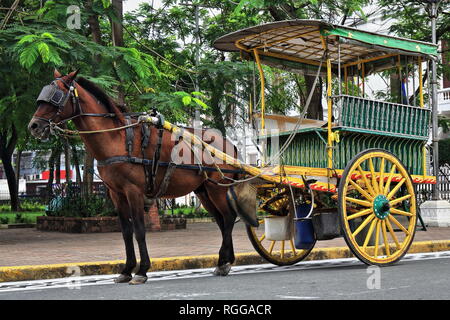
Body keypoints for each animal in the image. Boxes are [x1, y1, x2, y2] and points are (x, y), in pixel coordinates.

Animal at [29, 69, 243, 282]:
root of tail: (227, 143)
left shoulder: (134, 192)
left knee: (229, 217)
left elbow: (140, 230)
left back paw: (224, 261)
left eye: (56, 96)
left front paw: (142, 270)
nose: (34, 126)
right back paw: (224, 260)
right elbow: (126, 231)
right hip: (204, 190)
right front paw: (126, 270)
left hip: (217, 188)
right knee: (221, 220)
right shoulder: (117, 193)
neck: (117, 138)